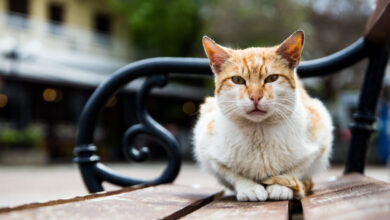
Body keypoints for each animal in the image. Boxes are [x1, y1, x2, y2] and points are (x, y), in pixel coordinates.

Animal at [193, 31, 334, 201]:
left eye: (272, 78)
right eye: (237, 80)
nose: (255, 97)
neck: (258, 130)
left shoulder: (319, 139)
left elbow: (296, 170)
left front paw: (280, 186)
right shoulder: (207, 150)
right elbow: (232, 173)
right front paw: (249, 188)